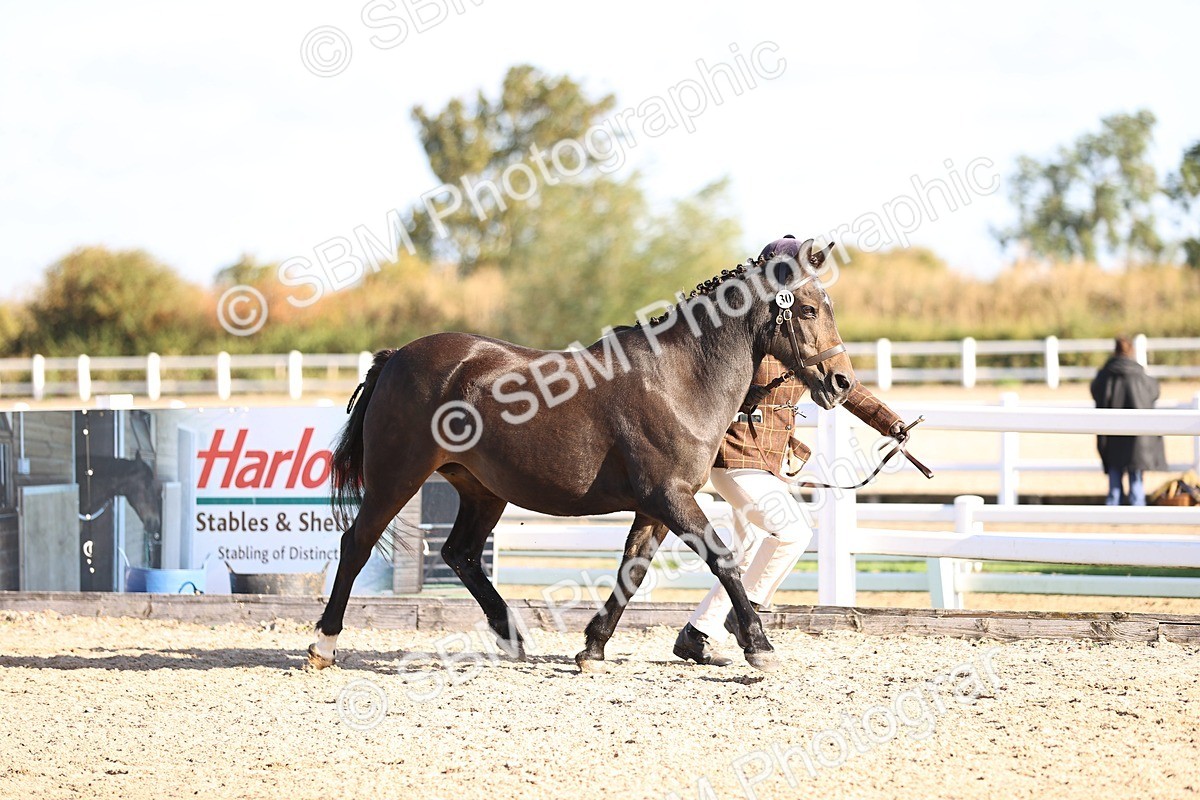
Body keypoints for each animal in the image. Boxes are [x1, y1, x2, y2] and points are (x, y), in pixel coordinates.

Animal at [308, 237, 858, 672]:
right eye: (808, 309)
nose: (841, 382)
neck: (678, 380)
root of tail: (395, 357)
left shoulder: (655, 508)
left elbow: (632, 571)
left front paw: (592, 648)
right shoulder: (671, 497)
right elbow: (722, 560)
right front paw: (759, 645)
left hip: (482, 490)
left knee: (458, 553)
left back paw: (511, 637)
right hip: (397, 477)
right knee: (357, 544)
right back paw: (323, 644)